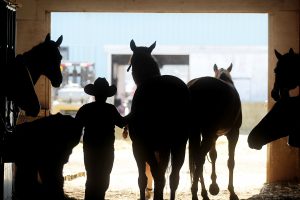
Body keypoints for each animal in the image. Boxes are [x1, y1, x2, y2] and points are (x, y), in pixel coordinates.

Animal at [126, 40, 190, 200]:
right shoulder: (163, 148)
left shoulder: (139, 147)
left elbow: (143, 178)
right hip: (178, 145)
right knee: (173, 178)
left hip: (150, 146)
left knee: (158, 176)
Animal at [189, 63, 243, 200]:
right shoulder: (234, 134)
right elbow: (231, 162)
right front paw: (232, 192)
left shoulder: (214, 136)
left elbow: (213, 156)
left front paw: (213, 186)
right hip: (208, 134)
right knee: (199, 159)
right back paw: (195, 192)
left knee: (197, 159)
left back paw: (202, 192)